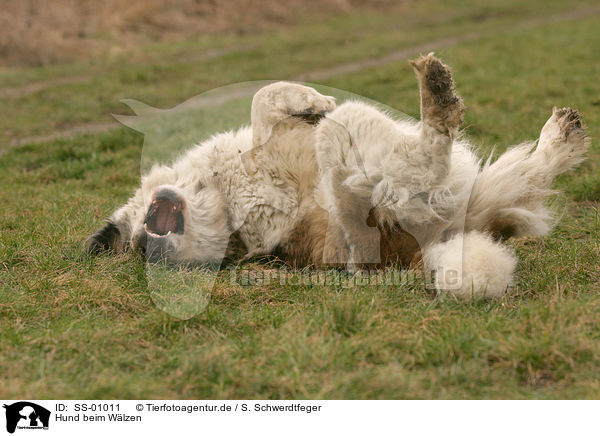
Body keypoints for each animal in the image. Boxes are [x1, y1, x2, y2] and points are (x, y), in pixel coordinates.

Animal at [86, 53, 588, 300]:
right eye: (140, 252)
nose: (149, 242)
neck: (222, 193)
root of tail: (431, 246)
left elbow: (265, 98)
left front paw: (310, 100)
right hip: (364, 163)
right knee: (427, 154)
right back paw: (437, 94)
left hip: (480, 192)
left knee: (526, 173)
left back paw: (561, 136)